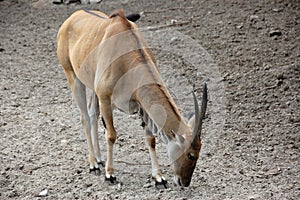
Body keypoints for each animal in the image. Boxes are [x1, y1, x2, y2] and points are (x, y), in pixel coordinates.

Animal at [56, 9, 207, 188]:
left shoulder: (141, 106)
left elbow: (151, 139)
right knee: (84, 117)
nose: (185, 182)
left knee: (92, 114)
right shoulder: (105, 99)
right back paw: (93, 164)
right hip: (73, 76)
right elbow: (111, 135)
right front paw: (110, 174)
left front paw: (159, 178)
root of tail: (71, 18)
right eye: (191, 155)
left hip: (92, 87)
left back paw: (99, 159)